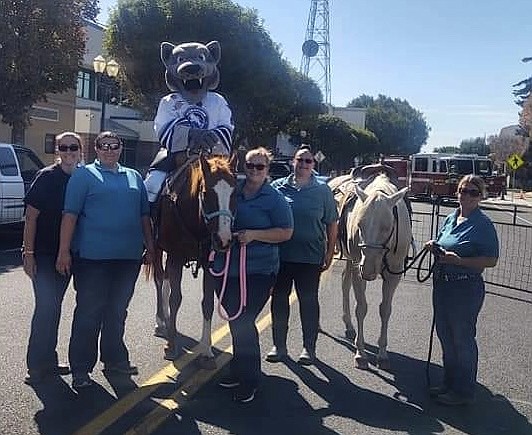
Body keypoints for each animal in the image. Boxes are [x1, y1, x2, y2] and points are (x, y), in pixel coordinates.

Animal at [332, 172, 412, 370]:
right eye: (360, 224)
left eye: (387, 227)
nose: (368, 269)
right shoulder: (359, 270)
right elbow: (361, 308)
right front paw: (360, 353)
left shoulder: (393, 275)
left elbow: (385, 309)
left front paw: (382, 354)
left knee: (344, 283)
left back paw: (349, 326)